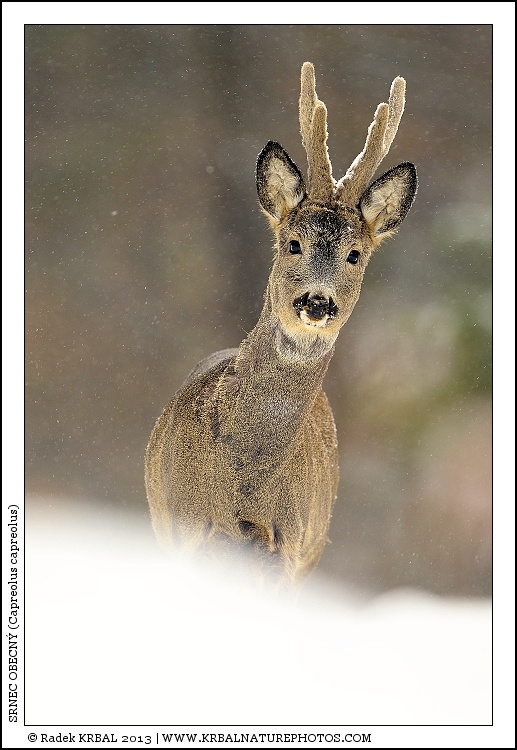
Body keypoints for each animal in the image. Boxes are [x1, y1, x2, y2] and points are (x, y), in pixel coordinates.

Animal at [145, 62, 417, 584]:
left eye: (355, 254)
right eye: (293, 243)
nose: (317, 302)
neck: (241, 488)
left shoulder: (287, 548)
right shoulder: (182, 527)